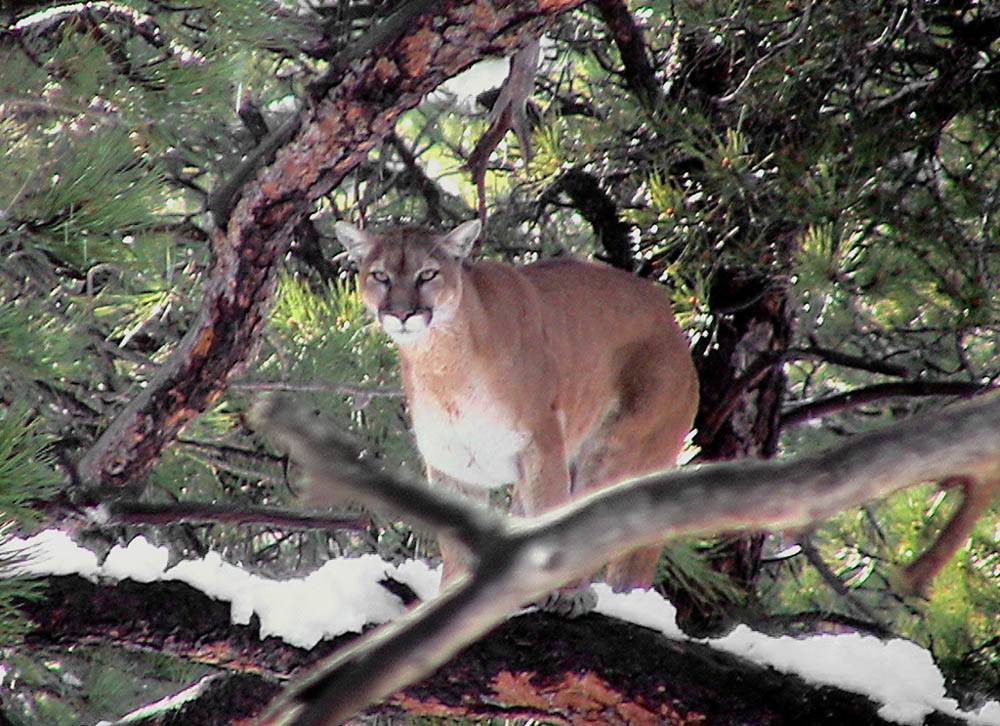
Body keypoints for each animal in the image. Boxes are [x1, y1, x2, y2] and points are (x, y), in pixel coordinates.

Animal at [336, 219, 696, 604]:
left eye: (427, 274)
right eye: (381, 276)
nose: (402, 314)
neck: (443, 365)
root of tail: (671, 319)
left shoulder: (541, 444)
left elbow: (552, 514)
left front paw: (561, 593)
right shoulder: (451, 462)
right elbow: (456, 545)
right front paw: (452, 595)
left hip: (615, 448)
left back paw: (574, 592)